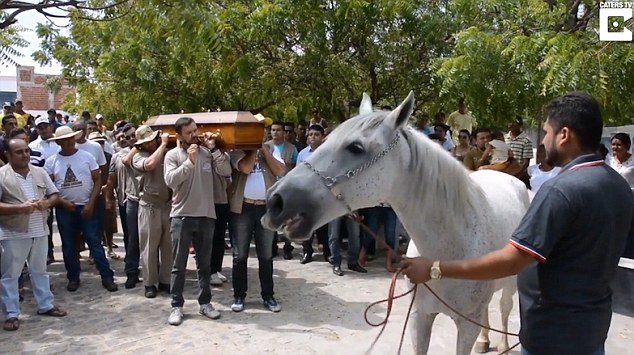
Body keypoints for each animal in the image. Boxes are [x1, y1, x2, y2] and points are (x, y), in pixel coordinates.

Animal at [258, 92, 528, 355]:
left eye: (356, 147)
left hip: (510, 283)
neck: (450, 252)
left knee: (504, 308)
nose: (275, 201)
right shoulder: (420, 317)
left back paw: (503, 345)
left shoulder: (465, 325)